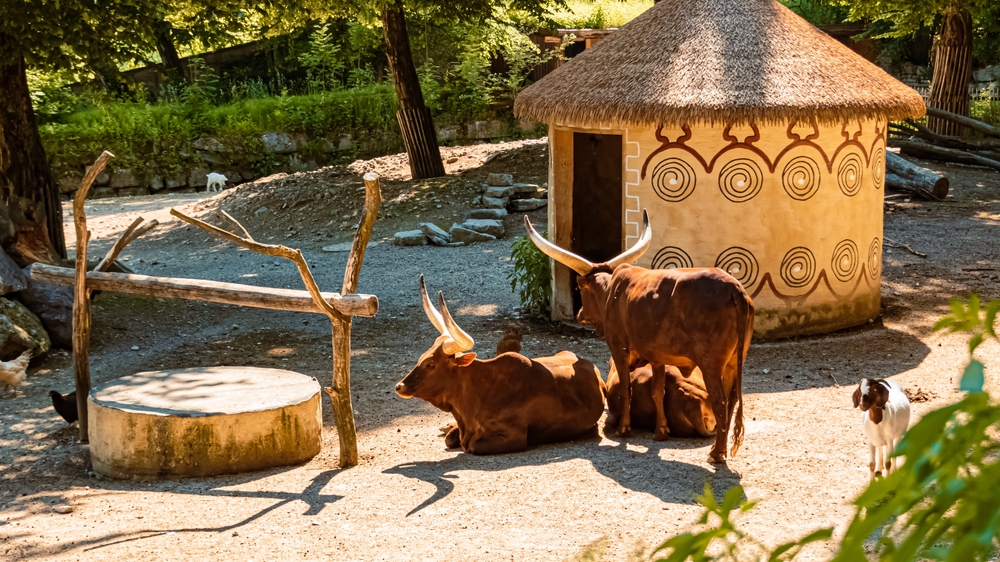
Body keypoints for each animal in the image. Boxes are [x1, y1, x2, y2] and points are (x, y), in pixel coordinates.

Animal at [528, 210, 752, 460]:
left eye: (580, 287)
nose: (579, 313)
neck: (612, 292)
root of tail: (734, 289)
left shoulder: (618, 346)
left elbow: (627, 387)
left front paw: (624, 429)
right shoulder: (657, 356)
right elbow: (657, 390)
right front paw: (661, 431)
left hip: (711, 363)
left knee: (720, 401)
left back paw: (717, 452)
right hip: (735, 360)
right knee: (732, 399)